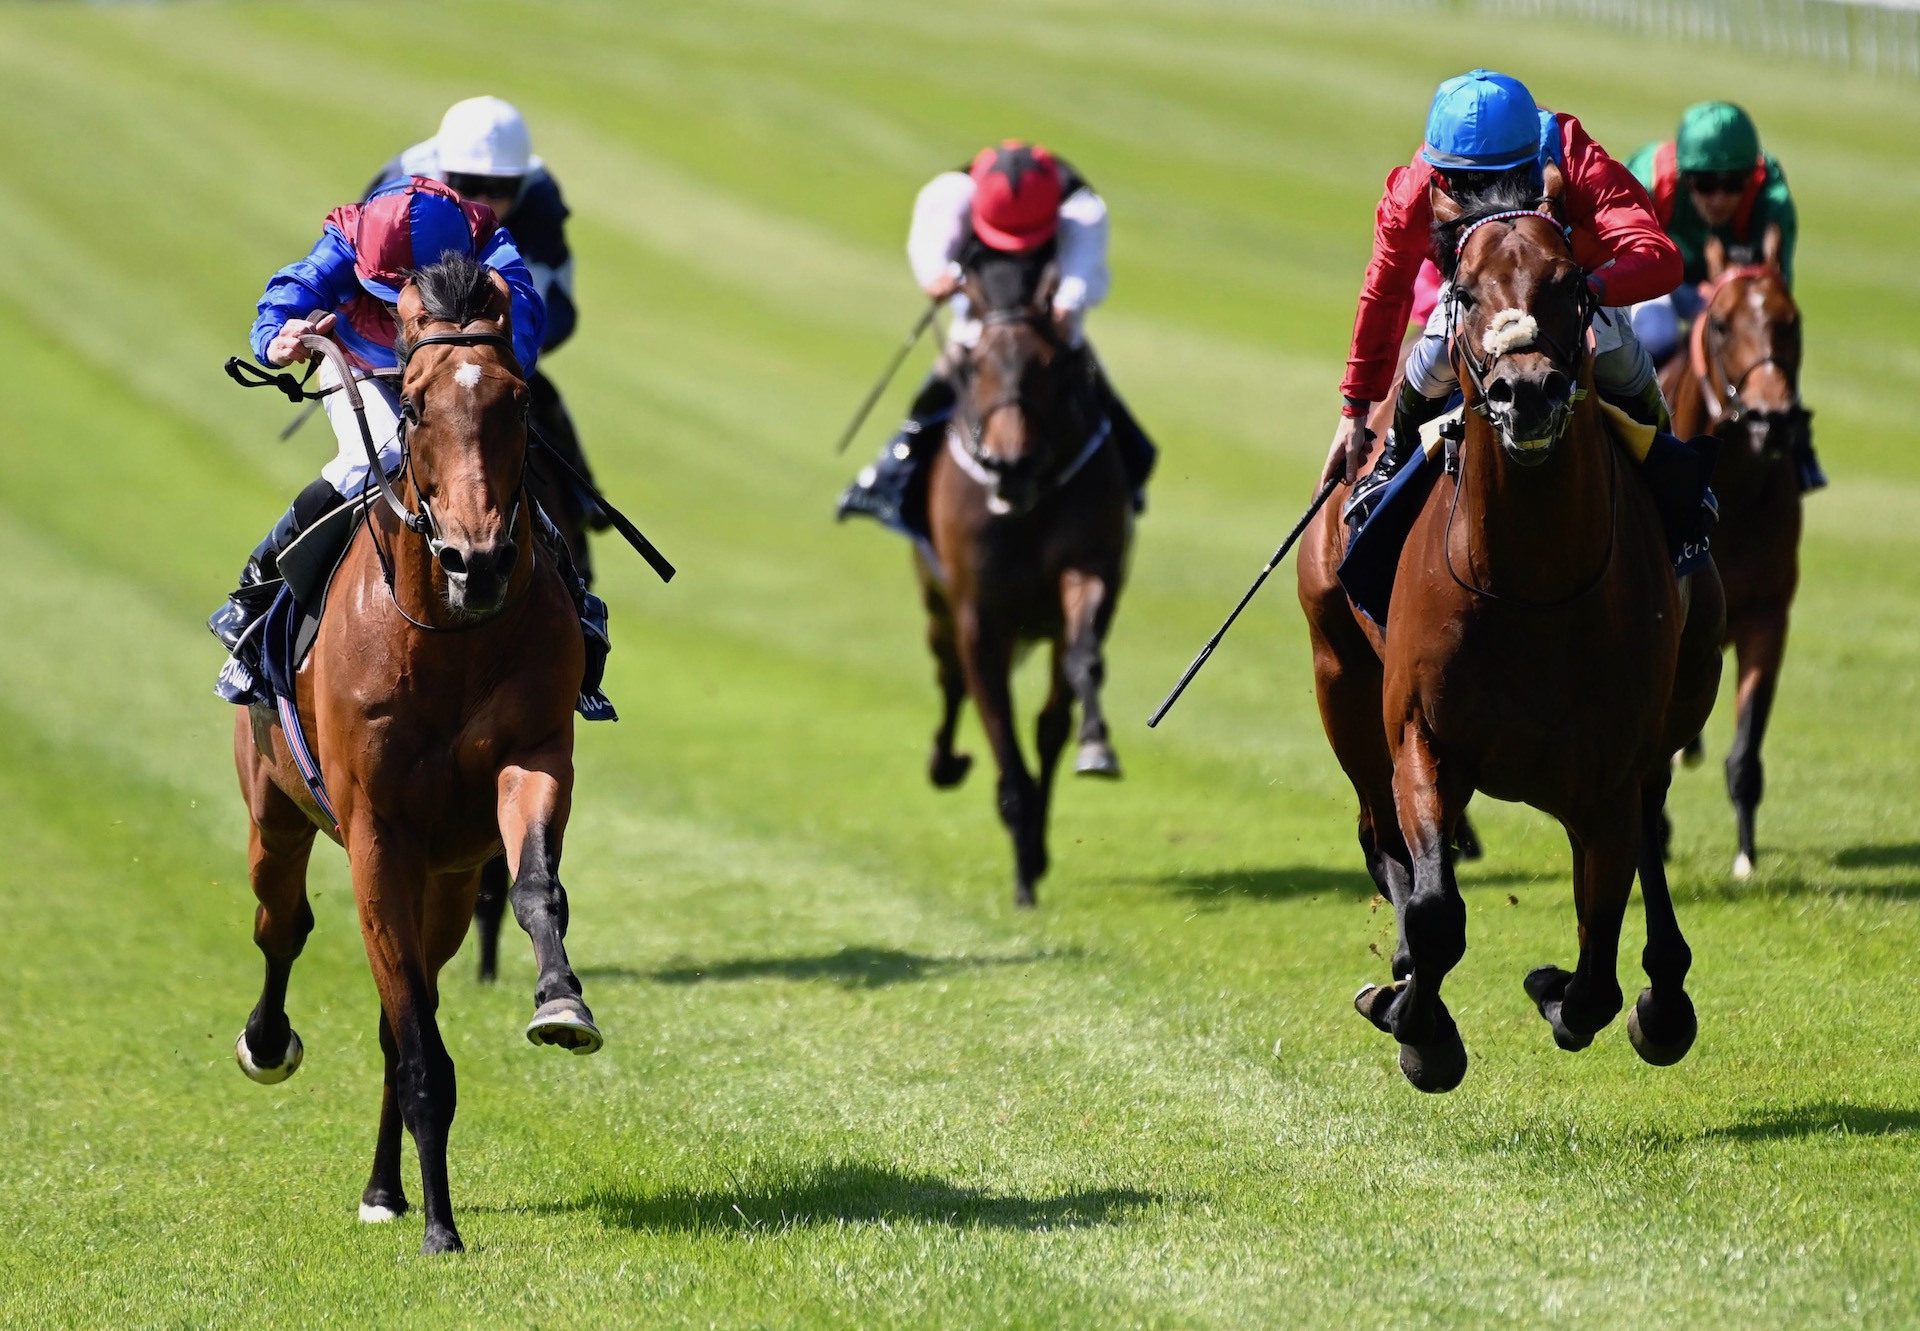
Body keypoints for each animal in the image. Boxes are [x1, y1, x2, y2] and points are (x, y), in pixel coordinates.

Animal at [917, 255, 1128, 910]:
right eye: (975, 366)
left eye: (1052, 367)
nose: (1009, 467)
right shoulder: (979, 614)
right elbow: (995, 720)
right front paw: (1022, 874)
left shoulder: (1086, 569)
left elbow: (1083, 665)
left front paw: (1097, 746)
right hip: (936, 601)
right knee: (950, 678)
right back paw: (946, 764)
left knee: (1048, 721)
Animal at [1297, 184, 1735, 1090]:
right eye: (1464, 291)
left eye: (1570, 284)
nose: (1523, 392)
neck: (1530, 584)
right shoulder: (1421, 735)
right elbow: (1435, 909)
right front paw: (1421, 1028)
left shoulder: (1609, 772)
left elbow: (1598, 964)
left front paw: (1562, 991)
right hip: (1340, 682)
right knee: (1379, 837)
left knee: (1646, 850)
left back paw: (1665, 997)